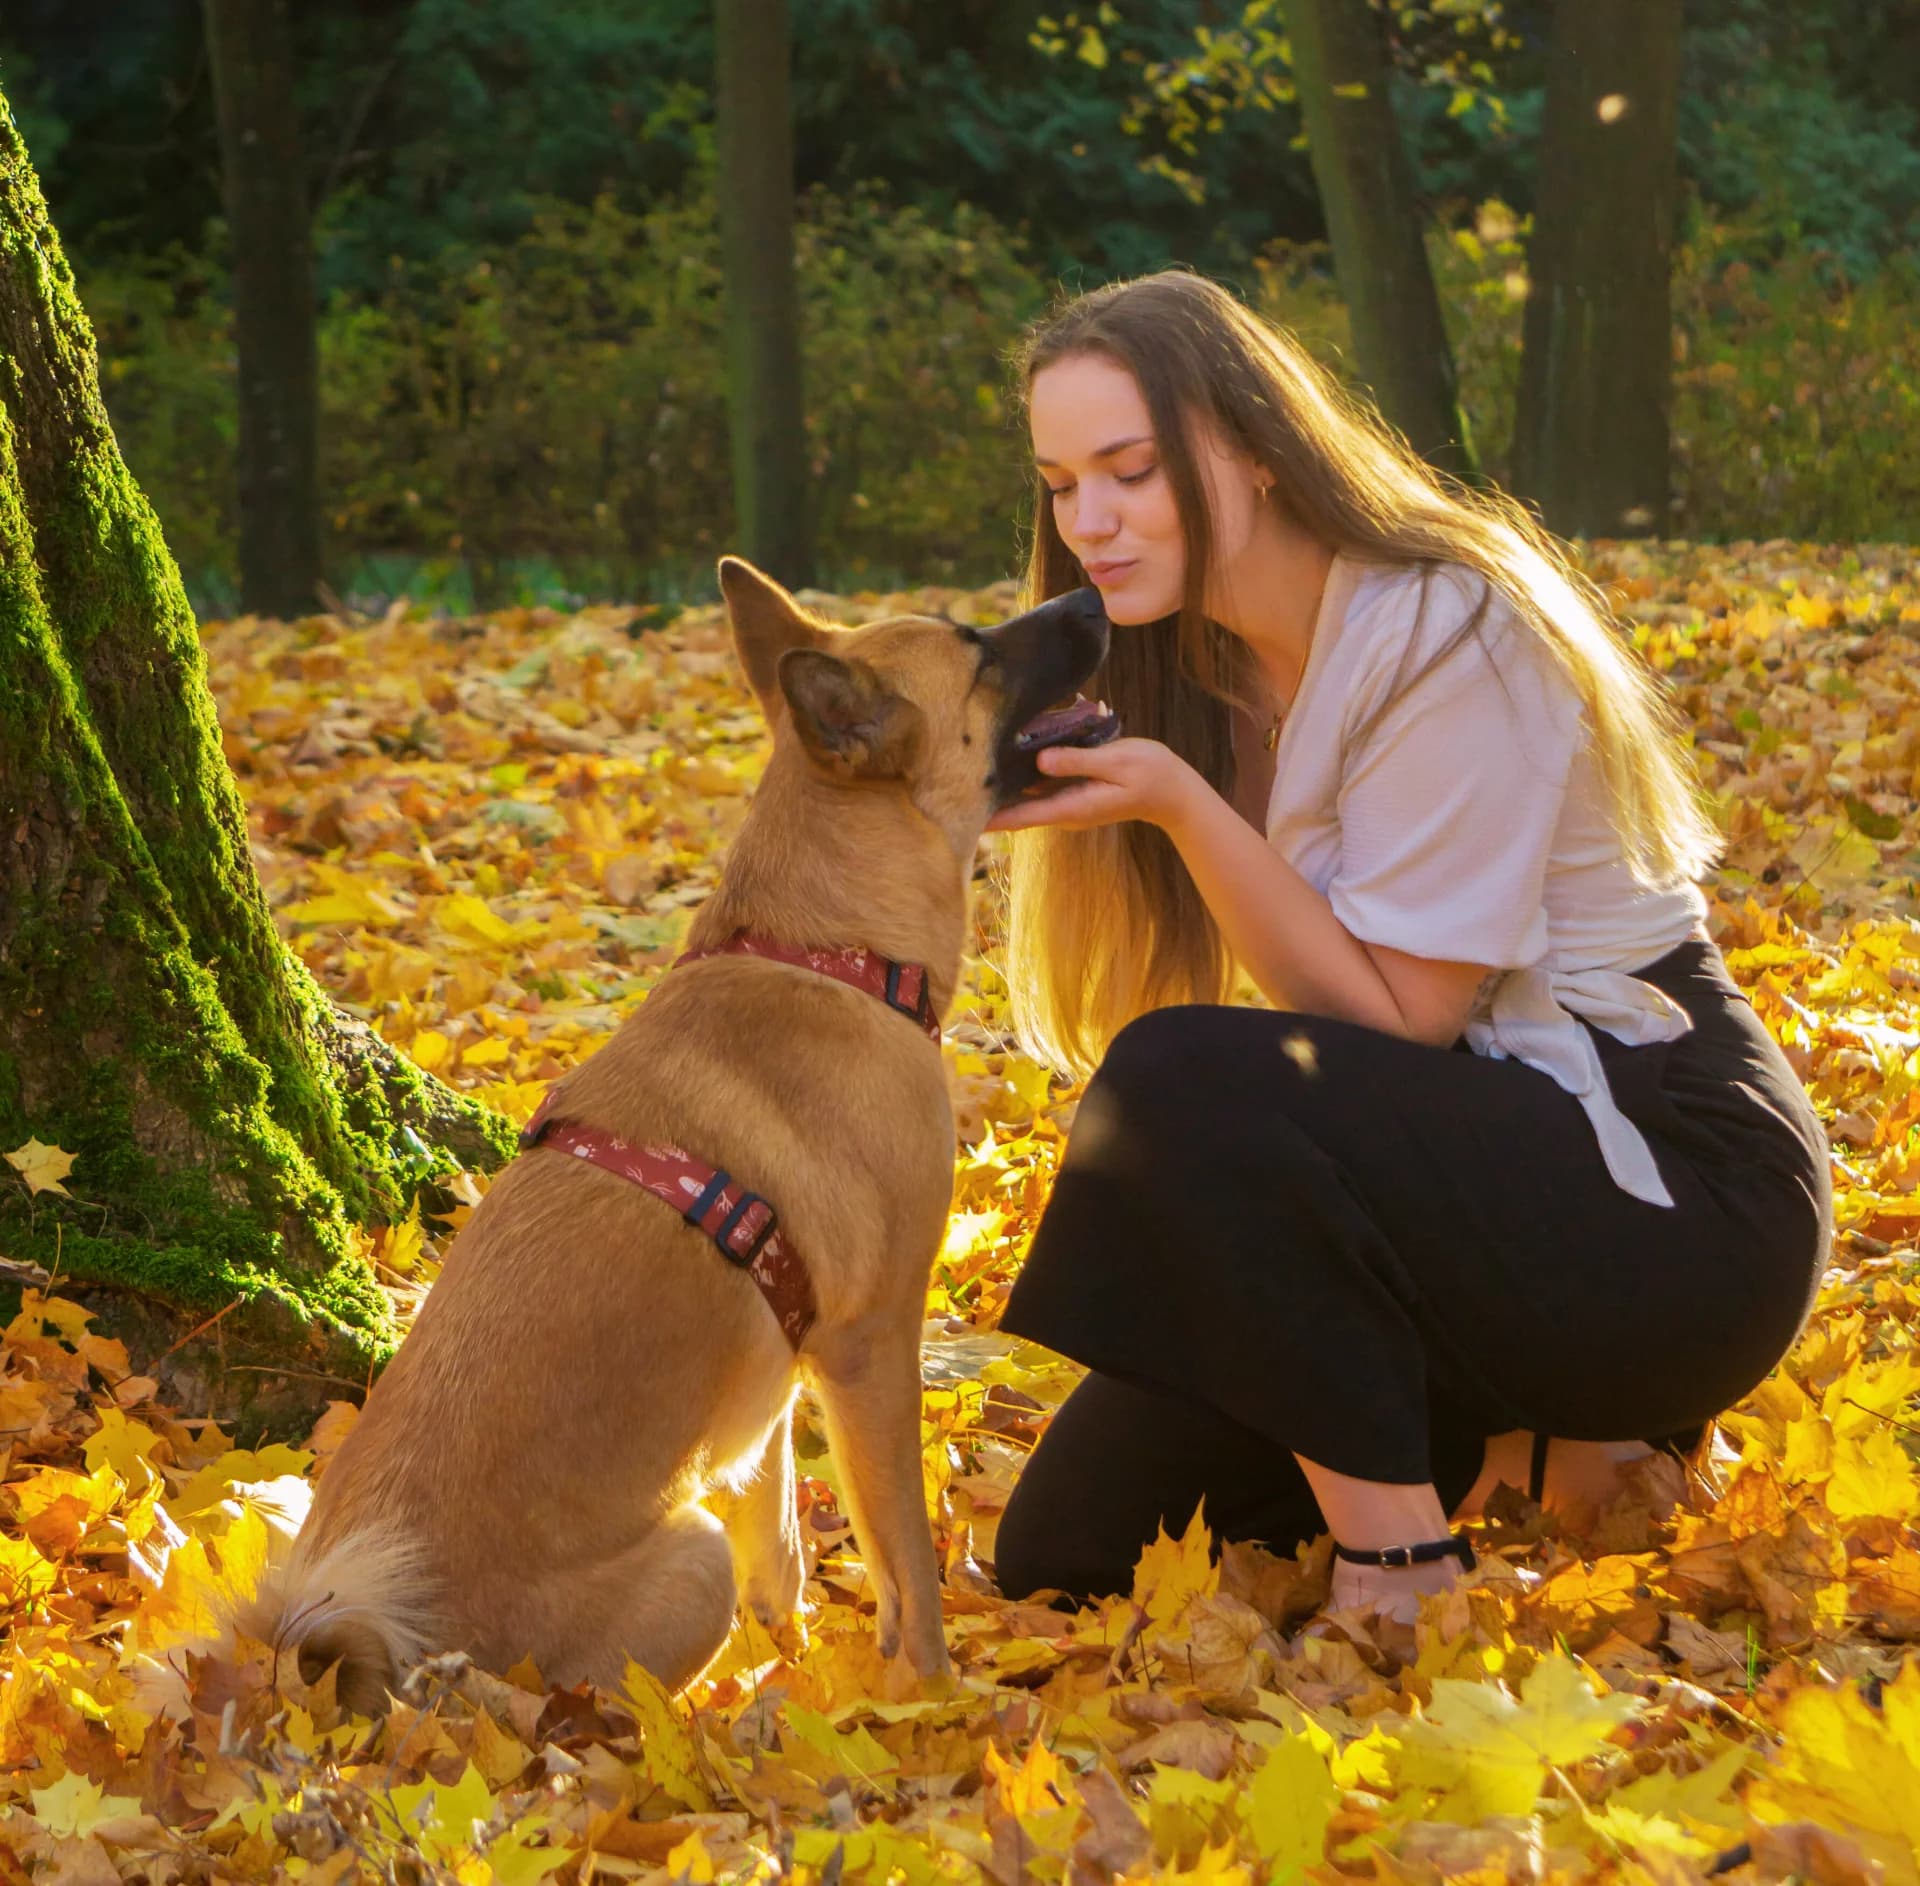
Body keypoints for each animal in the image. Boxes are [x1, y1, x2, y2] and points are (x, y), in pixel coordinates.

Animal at [263, 549, 1121, 1713]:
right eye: (978, 651)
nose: (1097, 593)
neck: (820, 949)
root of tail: (380, 1669)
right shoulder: (870, 1348)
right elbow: (905, 1565)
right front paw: (925, 1699)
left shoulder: (770, 1392)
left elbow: (787, 1557)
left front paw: (801, 1670)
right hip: (685, 1559)